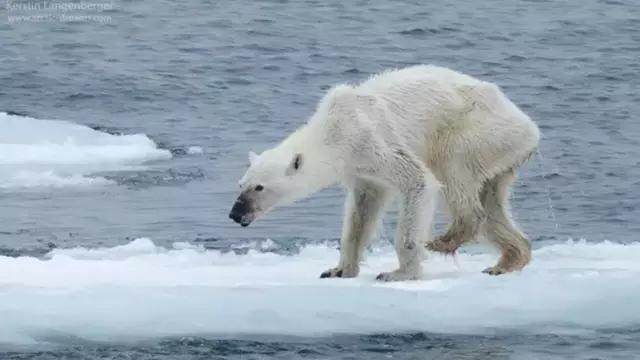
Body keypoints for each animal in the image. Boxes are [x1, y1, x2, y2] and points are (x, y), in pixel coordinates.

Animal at [230, 65, 540, 282]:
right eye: (241, 184)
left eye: (259, 187)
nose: (235, 213)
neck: (333, 130)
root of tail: (529, 126)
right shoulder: (360, 170)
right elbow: (361, 212)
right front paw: (338, 270)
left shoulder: (372, 141)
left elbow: (419, 181)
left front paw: (398, 273)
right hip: (500, 154)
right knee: (492, 203)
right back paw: (507, 260)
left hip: (476, 131)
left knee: (454, 171)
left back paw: (445, 239)